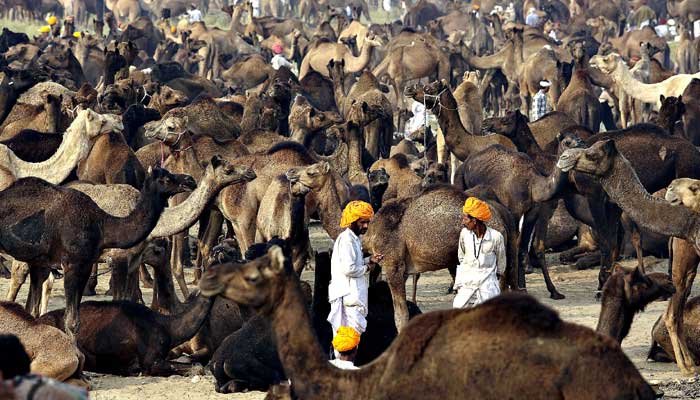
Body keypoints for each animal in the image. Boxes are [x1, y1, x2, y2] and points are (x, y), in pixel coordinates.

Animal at [0, 167, 193, 340]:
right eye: (166, 179)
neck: (102, 225)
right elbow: (70, 321)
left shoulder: (84, 265)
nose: (189, 180)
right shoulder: (73, 264)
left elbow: (70, 319)